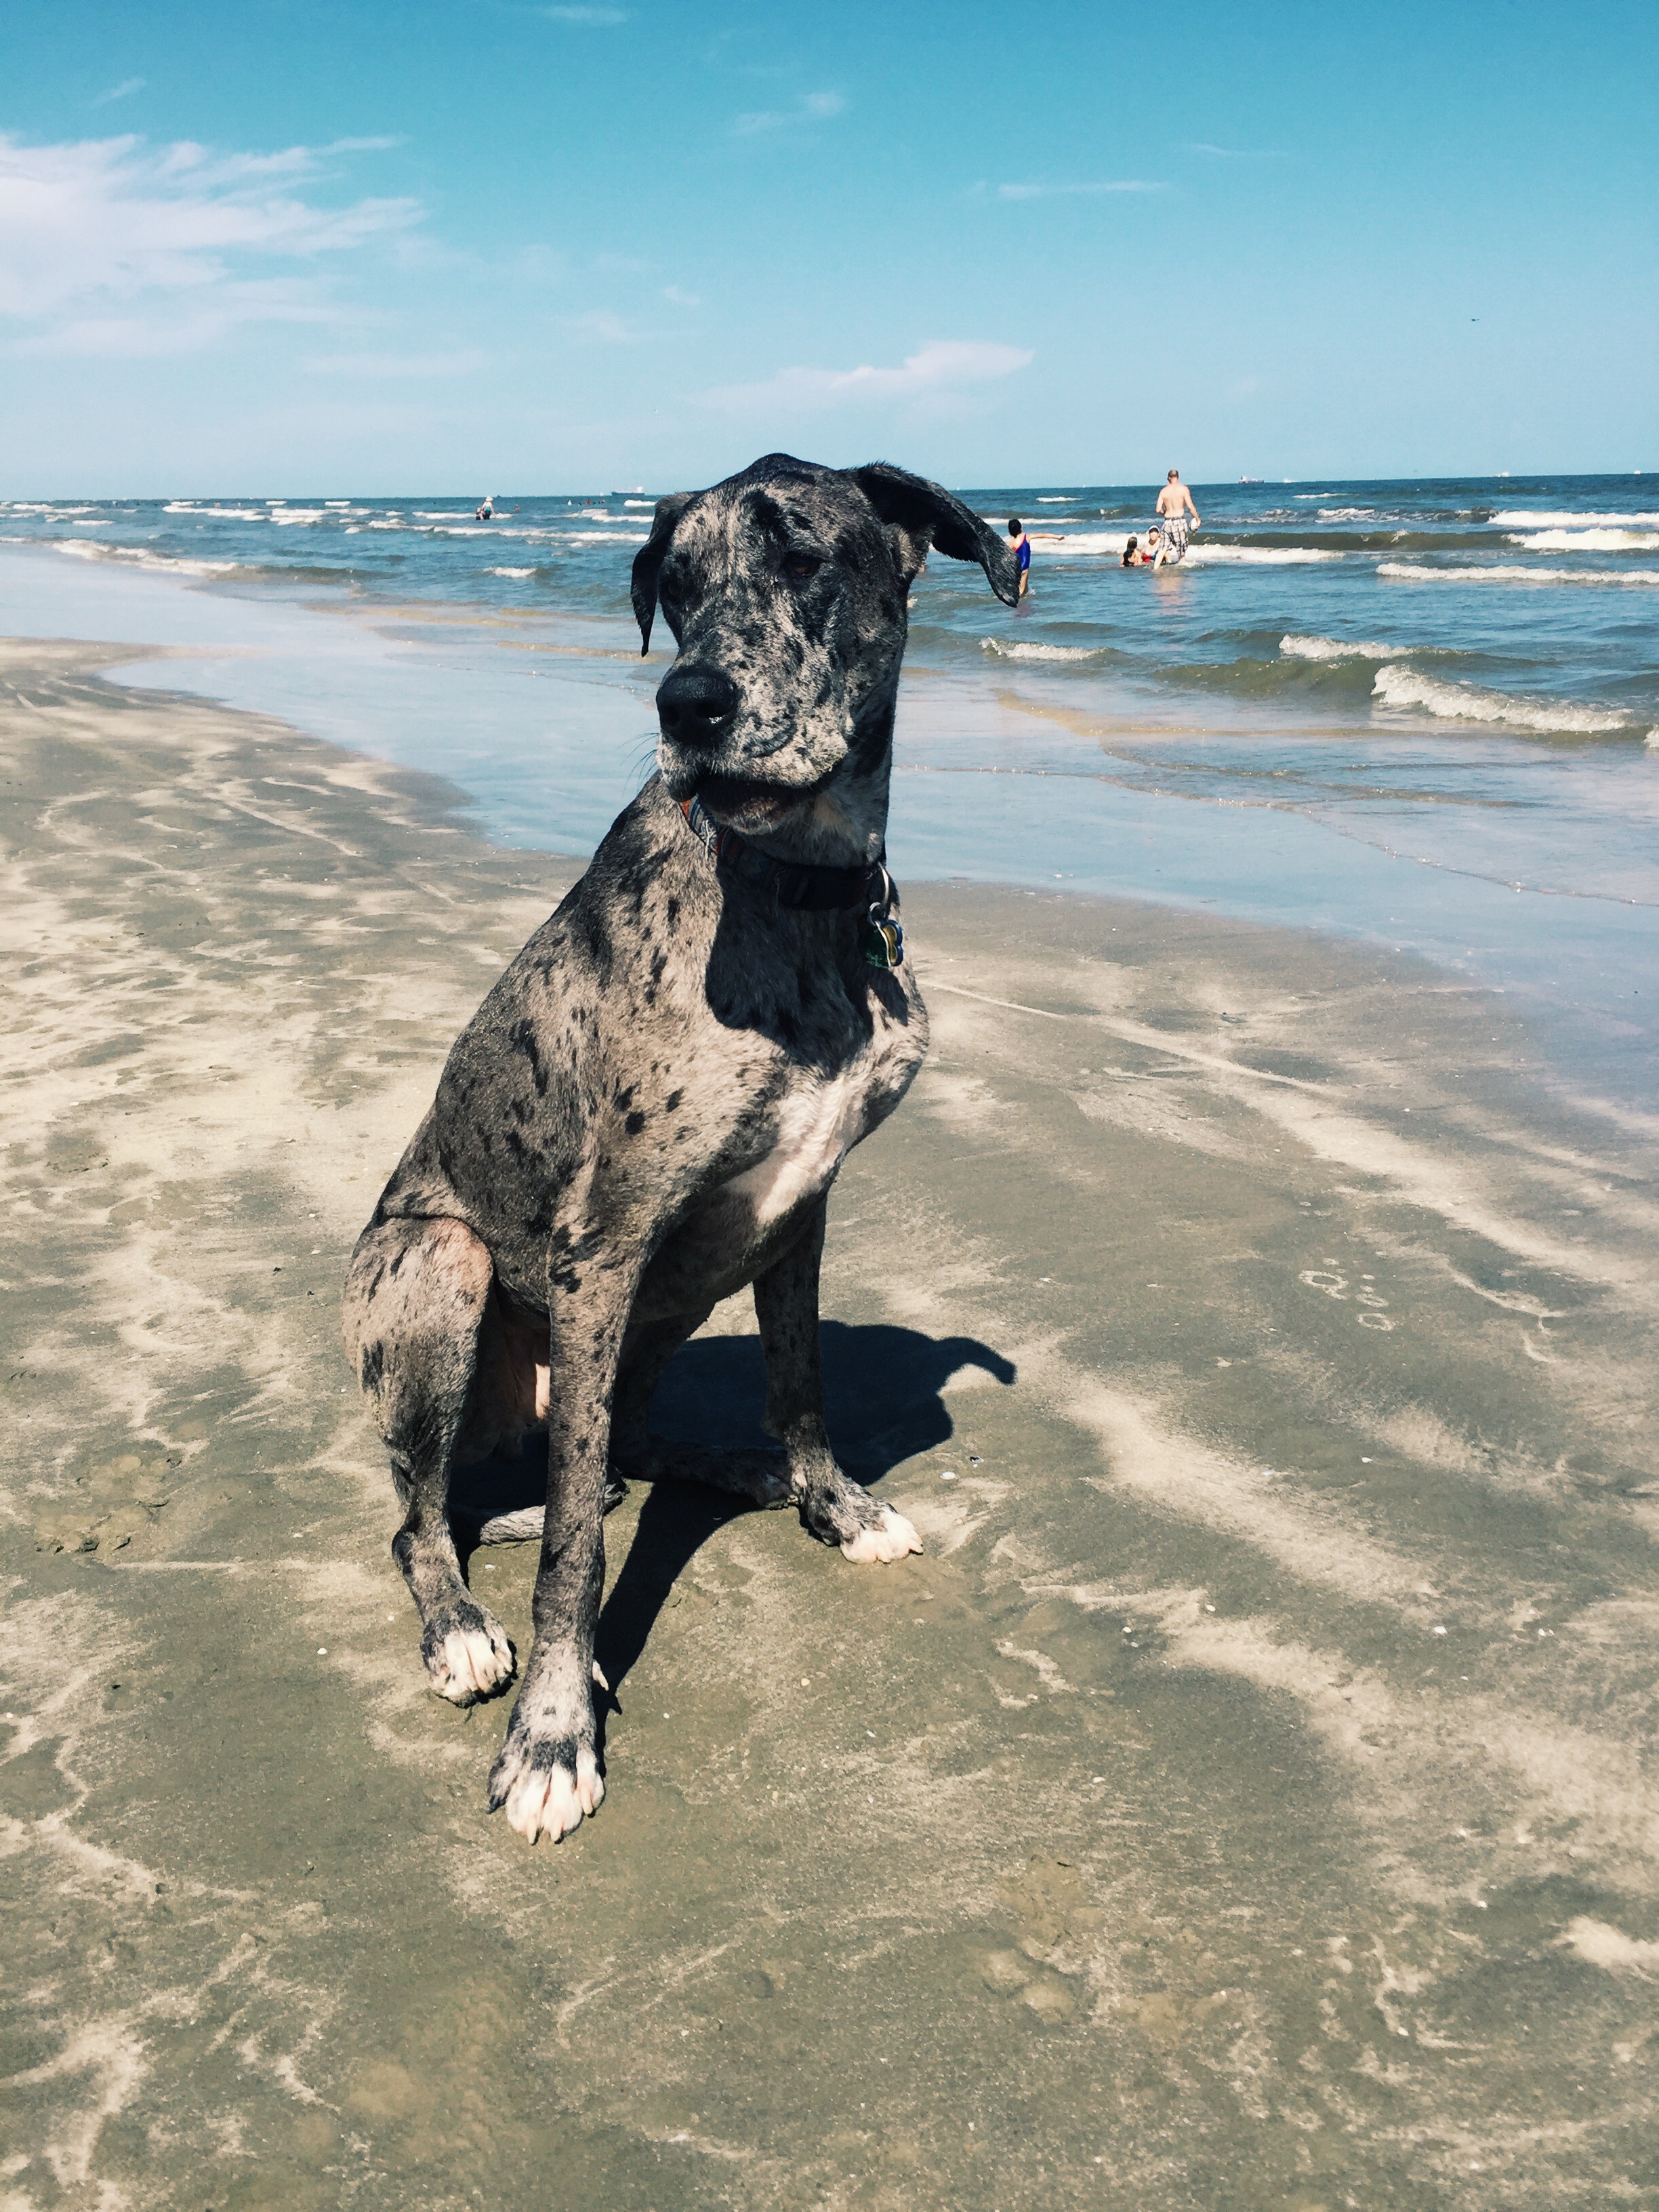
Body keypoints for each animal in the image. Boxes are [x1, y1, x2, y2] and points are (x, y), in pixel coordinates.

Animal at [342, 453, 1020, 1842]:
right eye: (681, 584)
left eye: (804, 560)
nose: (687, 702)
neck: (791, 890)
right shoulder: (599, 1245)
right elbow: (572, 1556)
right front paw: (554, 1727)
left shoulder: (802, 1205)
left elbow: (800, 1383)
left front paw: (829, 1502)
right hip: (441, 1266)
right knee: (444, 1516)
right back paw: (464, 1629)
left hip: (666, 1304)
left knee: (613, 1458)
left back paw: (733, 1471)